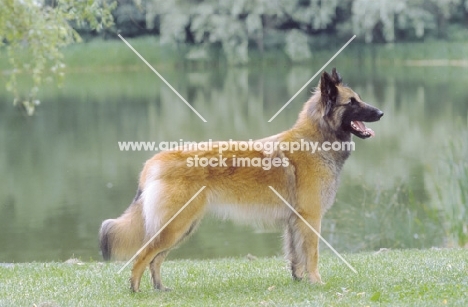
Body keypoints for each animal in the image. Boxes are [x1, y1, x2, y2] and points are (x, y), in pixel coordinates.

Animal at [98, 68, 384, 292]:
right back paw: (136, 290)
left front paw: (300, 281)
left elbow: (296, 256)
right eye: (352, 102)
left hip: (183, 227)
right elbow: (311, 254)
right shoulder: (310, 218)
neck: (316, 139)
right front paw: (317, 282)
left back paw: (160, 289)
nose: (381, 113)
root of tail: (153, 163)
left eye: (359, 99)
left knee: (155, 259)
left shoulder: (295, 221)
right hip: (175, 226)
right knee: (143, 255)